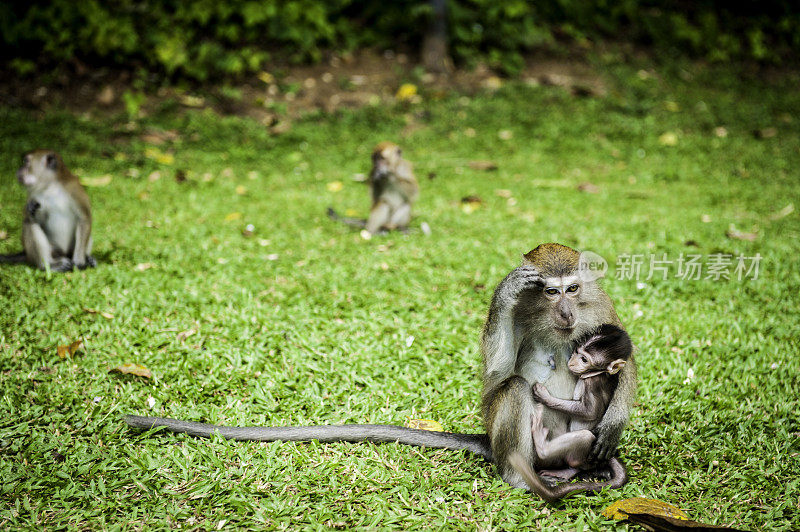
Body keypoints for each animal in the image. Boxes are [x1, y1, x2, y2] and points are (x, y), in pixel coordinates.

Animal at [510, 322, 636, 500]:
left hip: (585, 453)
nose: (572, 361)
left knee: (583, 439)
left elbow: (589, 411)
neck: (600, 373)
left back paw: (543, 446)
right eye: (577, 351)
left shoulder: (593, 383)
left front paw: (545, 397)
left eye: (584, 359)